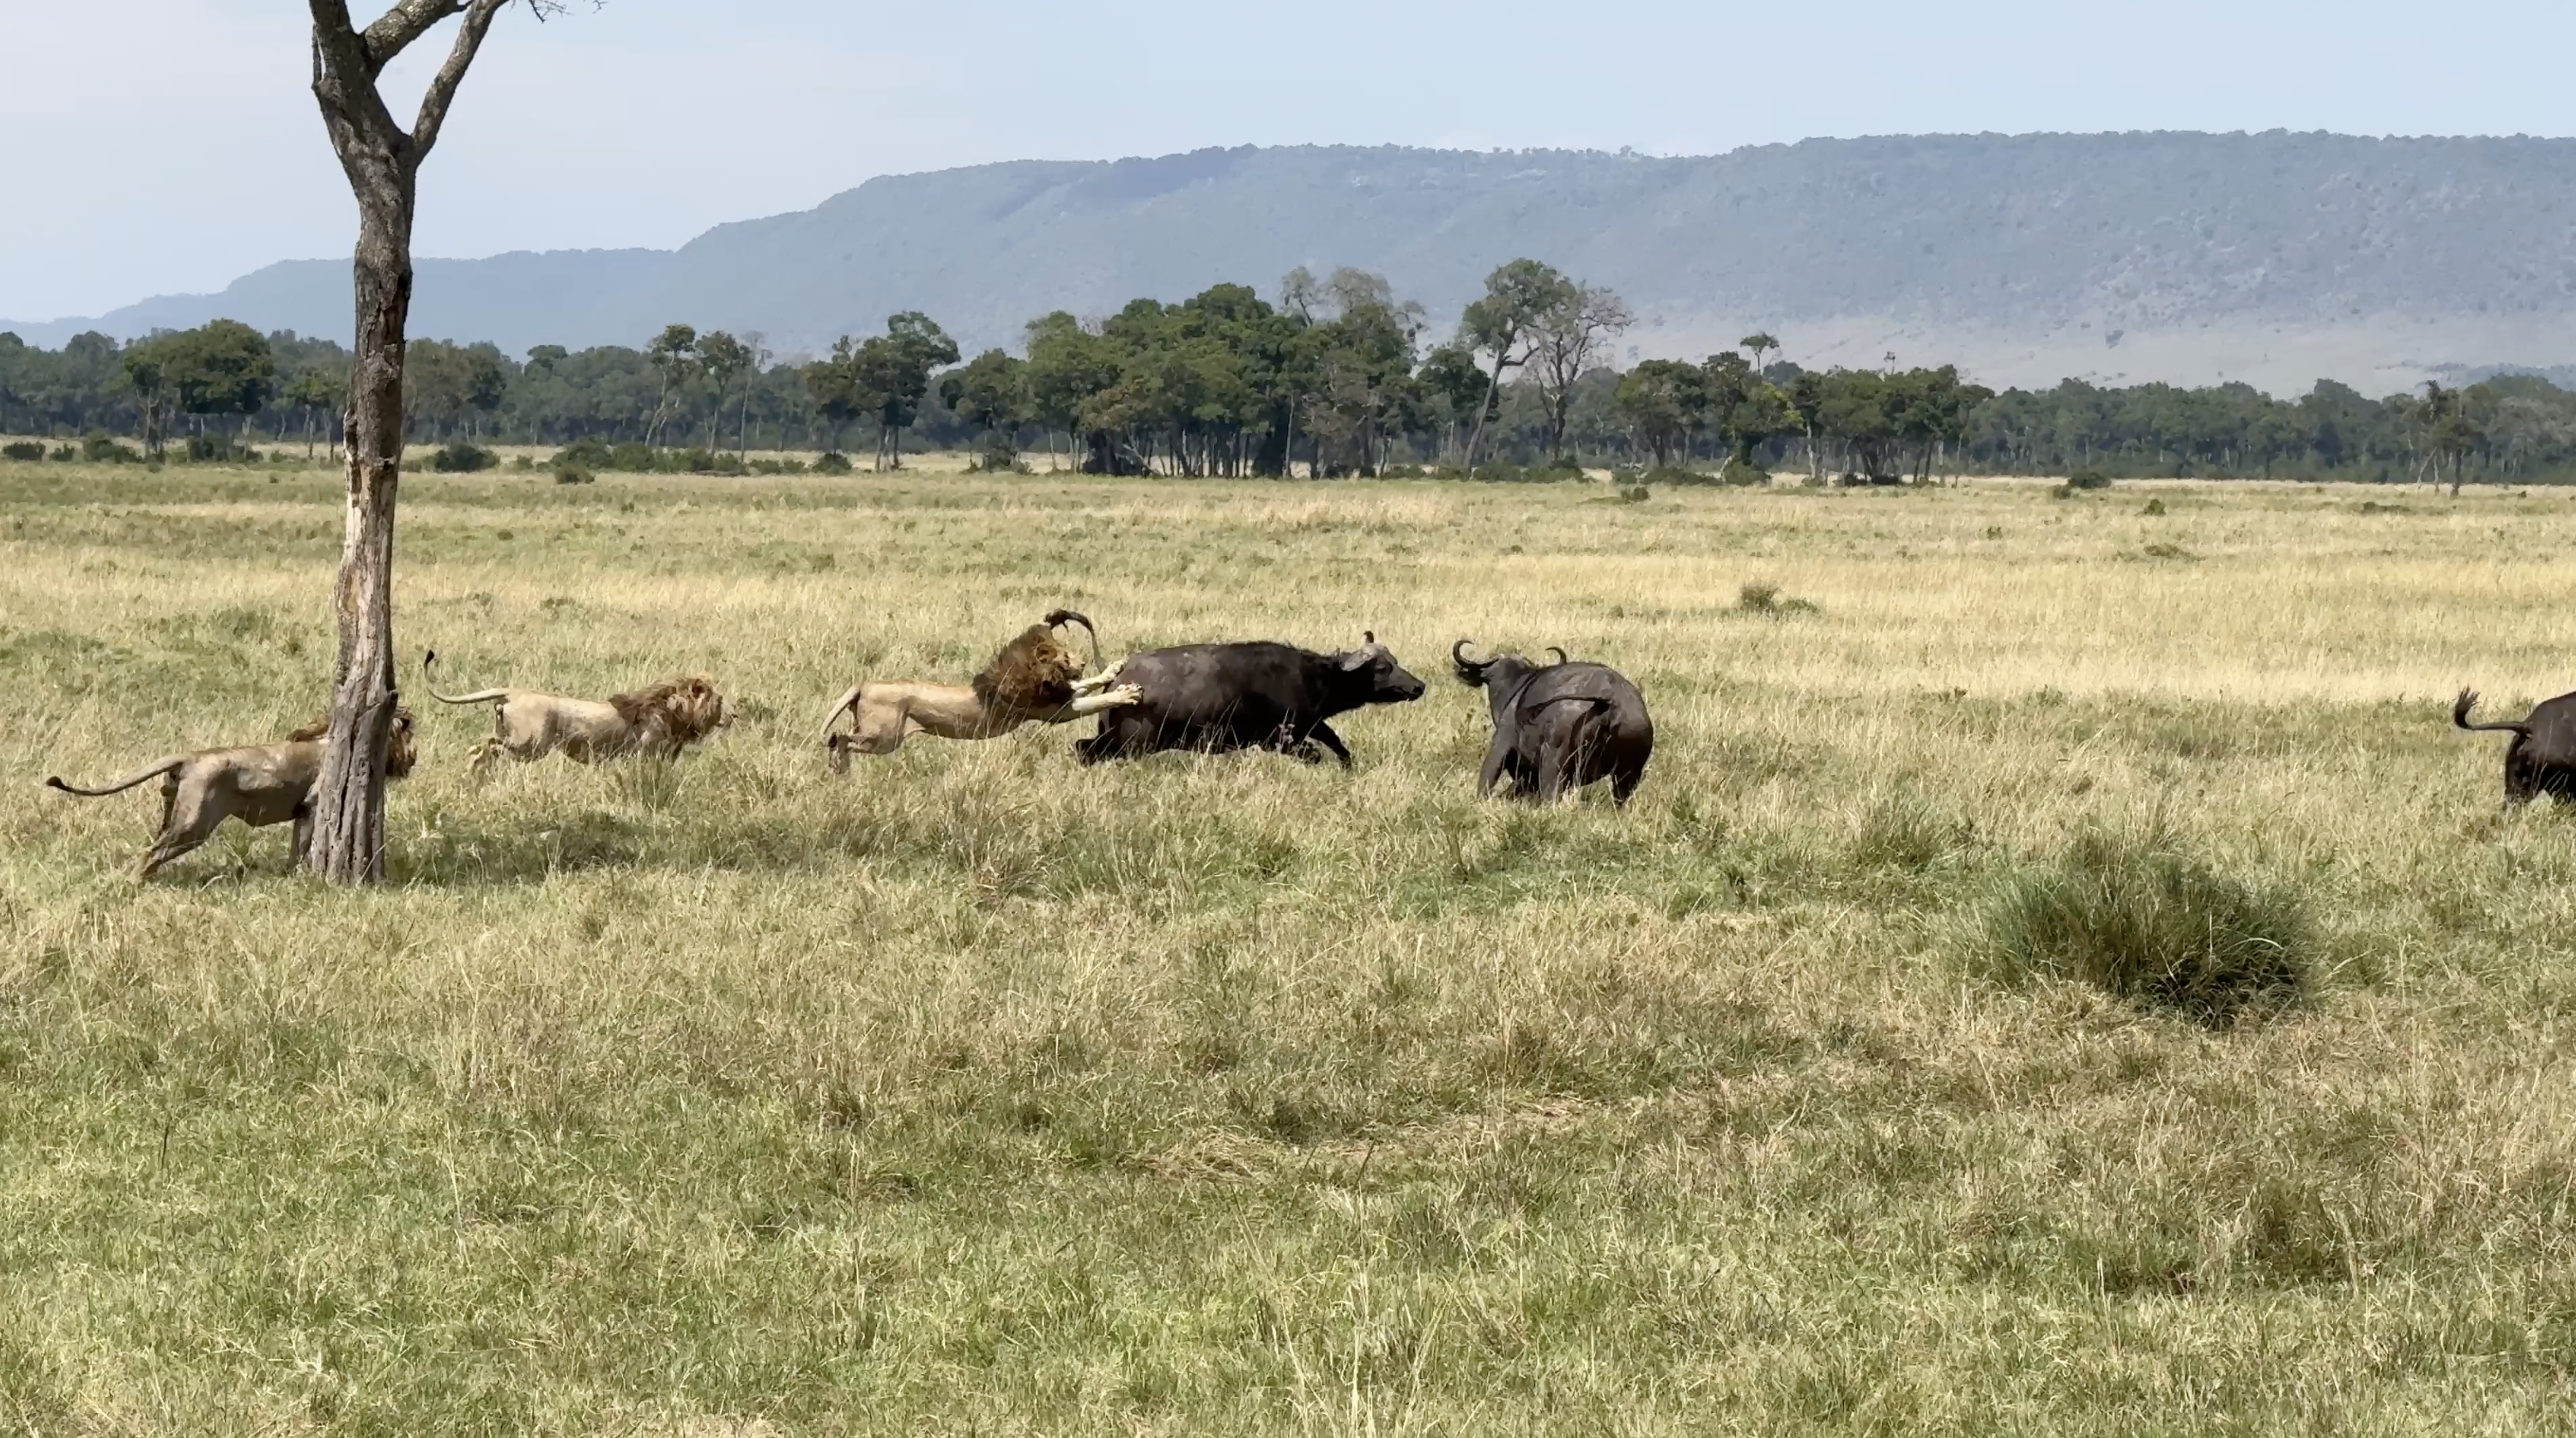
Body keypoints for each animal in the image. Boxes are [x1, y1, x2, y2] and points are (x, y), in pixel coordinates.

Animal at [45, 708, 419, 879]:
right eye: (407, 735)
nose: (414, 757)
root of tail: (192, 756)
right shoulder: (313, 805)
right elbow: (303, 845)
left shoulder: (302, 811)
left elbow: (296, 847)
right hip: (195, 823)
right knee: (150, 852)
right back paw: (135, 883)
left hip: (173, 813)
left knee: (153, 845)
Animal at [424, 653, 731, 774]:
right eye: (719, 700)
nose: (733, 716)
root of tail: (515, 692)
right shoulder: (644, 754)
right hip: (531, 745)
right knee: (486, 747)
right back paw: (474, 770)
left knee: (483, 746)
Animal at [818, 609, 1141, 772]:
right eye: (1064, 655)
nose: (1083, 661)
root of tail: (863, 684)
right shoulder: (1057, 711)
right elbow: (1097, 699)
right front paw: (1127, 693)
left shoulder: (1060, 697)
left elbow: (1086, 685)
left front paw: (1113, 669)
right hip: (885, 737)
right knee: (841, 738)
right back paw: (840, 763)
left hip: (881, 737)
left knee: (842, 740)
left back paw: (839, 767)